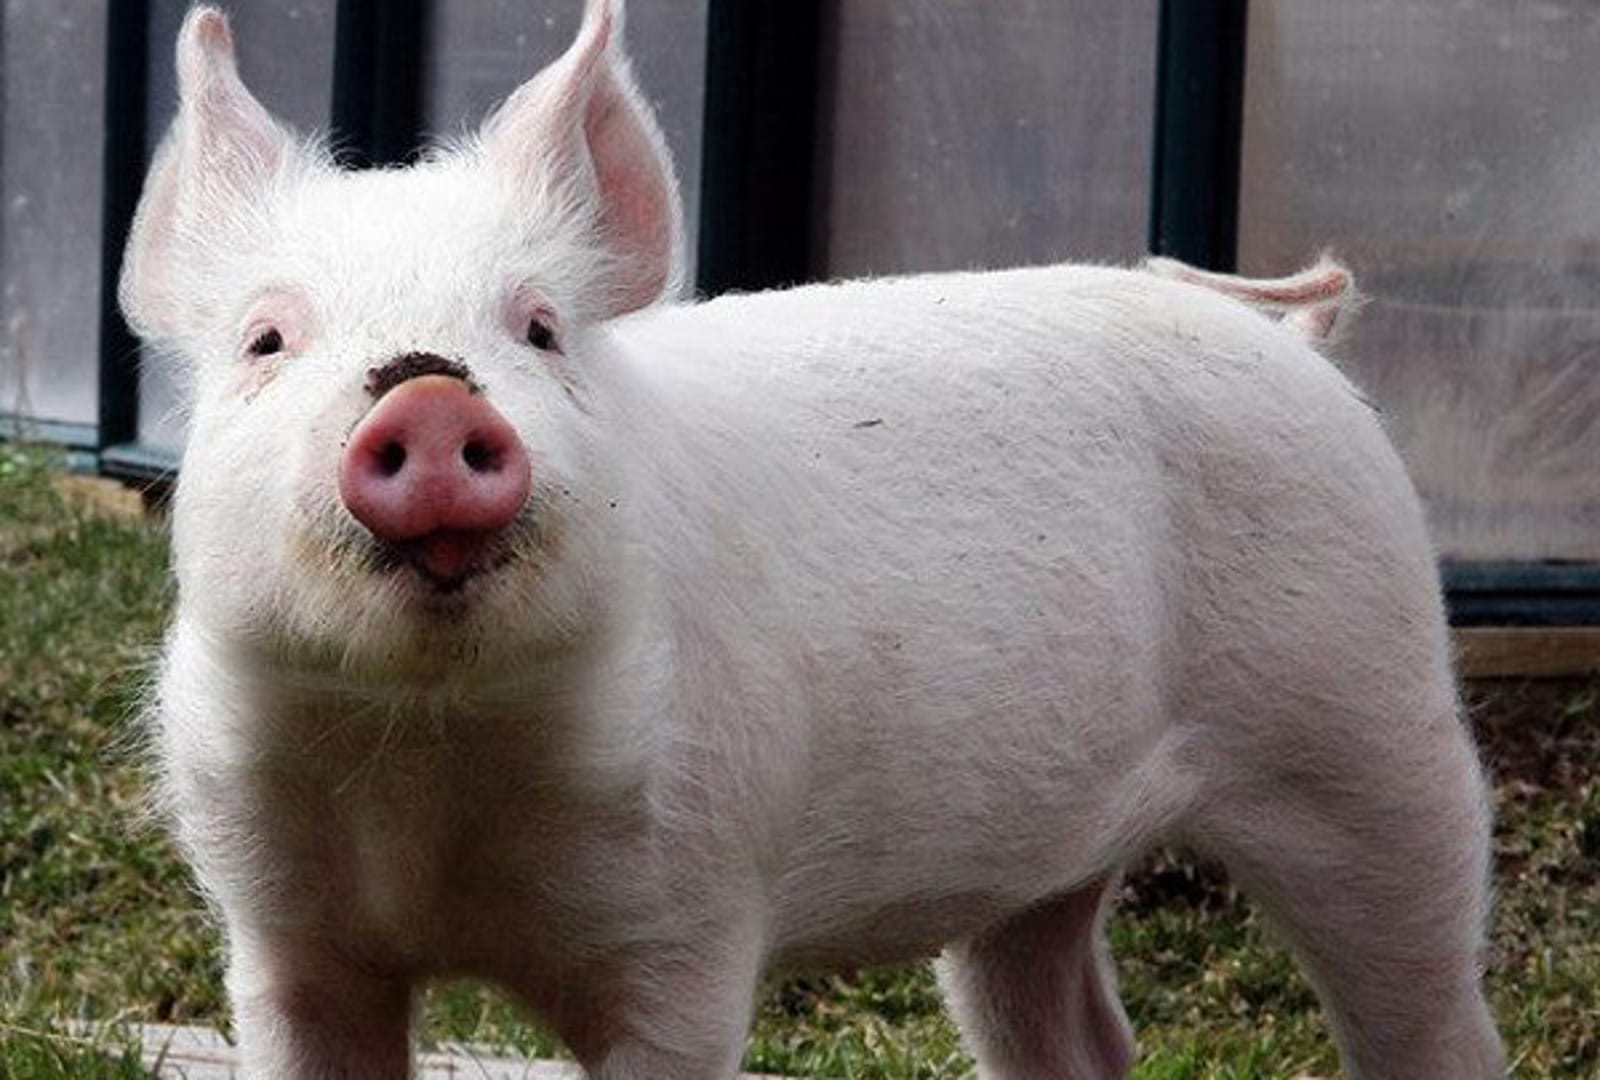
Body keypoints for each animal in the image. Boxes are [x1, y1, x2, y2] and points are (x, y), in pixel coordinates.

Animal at [119, 2, 1505, 1078]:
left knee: (1432, 1005)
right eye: (265, 339)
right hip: (1047, 863)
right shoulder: (285, 937)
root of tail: (1285, 337)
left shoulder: (689, 920)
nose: (428, 396)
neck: (426, 757)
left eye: (541, 329)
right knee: (1072, 1023)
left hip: (1370, 729)